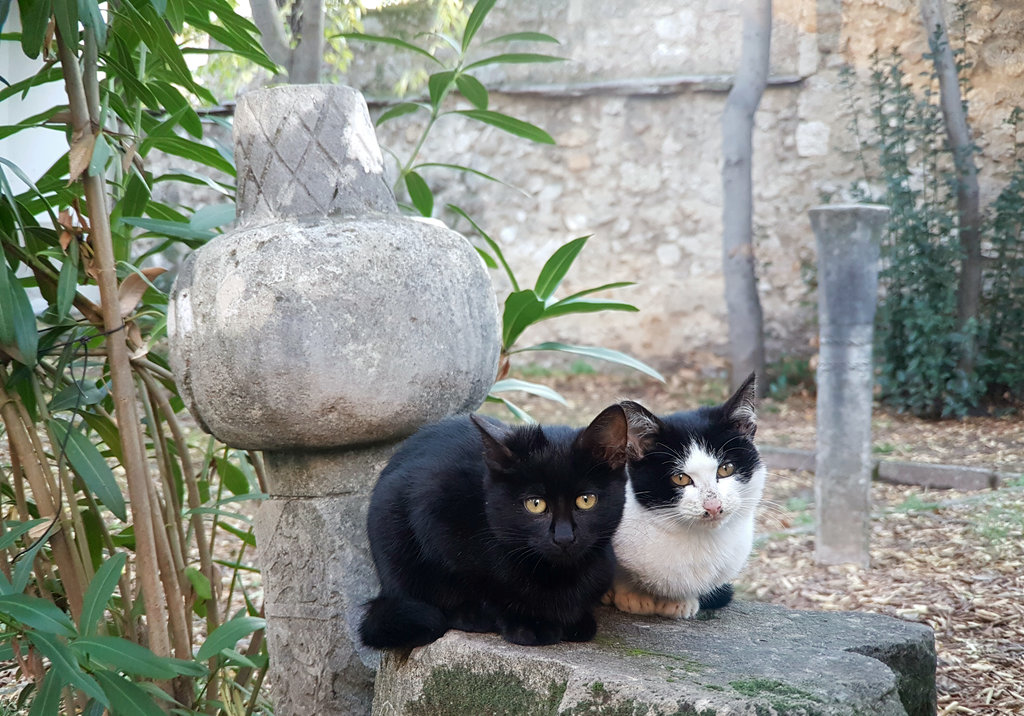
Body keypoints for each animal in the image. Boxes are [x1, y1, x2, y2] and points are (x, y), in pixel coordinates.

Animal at [360, 403, 630, 651]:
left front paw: (576, 620)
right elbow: (480, 584)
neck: (557, 576)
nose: (564, 537)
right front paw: (527, 622)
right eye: (535, 504)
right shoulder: (431, 505)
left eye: (586, 500)